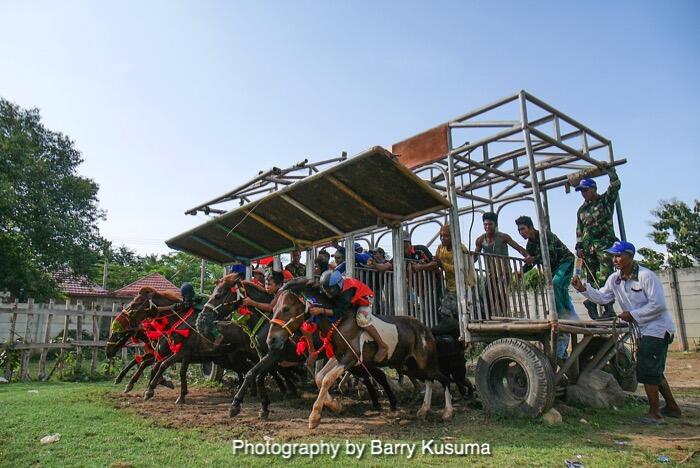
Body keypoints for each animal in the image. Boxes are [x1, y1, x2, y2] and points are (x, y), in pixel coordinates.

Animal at [202, 272, 400, 418]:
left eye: (218, 295)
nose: (204, 315)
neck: (265, 321)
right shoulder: (266, 355)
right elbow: (258, 375)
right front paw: (264, 407)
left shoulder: (274, 354)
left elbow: (252, 374)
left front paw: (235, 405)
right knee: (372, 375)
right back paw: (381, 402)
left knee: (374, 375)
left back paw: (388, 401)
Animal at [268, 284, 454, 430]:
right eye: (273, 309)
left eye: (286, 309)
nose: (271, 340)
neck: (339, 322)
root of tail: (426, 329)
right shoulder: (338, 357)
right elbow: (320, 378)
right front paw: (335, 405)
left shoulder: (351, 358)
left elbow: (327, 379)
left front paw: (314, 417)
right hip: (410, 366)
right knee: (429, 381)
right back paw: (423, 410)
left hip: (425, 363)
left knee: (443, 379)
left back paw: (447, 412)